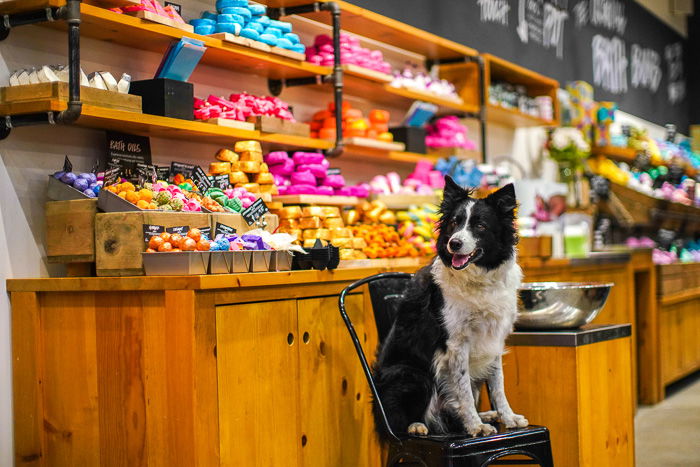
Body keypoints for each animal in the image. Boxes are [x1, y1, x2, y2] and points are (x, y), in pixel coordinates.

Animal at [372, 177, 524, 440]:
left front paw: (507, 417)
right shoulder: (455, 343)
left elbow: (498, 386)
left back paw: (485, 415)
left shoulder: (494, 338)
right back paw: (417, 425)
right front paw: (474, 426)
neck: (478, 279)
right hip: (413, 373)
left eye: (480, 226)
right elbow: (463, 390)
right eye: (454, 222)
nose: (454, 243)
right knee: (399, 419)